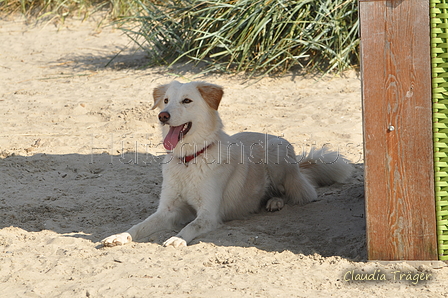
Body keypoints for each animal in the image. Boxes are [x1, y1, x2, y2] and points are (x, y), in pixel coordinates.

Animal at [102, 80, 354, 248]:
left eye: (186, 101)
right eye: (165, 101)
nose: (162, 115)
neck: (190, 159)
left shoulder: (208, 214)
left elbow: (190, 226)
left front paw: (176, 239)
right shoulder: (169, 210)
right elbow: (139, 225)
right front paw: (120, 236)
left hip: (278, 158)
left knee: (300, 193)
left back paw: (274, 201)